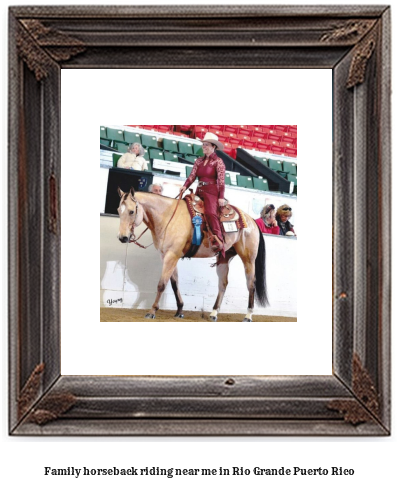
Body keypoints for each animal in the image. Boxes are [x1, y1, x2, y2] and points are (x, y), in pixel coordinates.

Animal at [117, 186, 268, 320]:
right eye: (118, 210)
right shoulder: (167, 256)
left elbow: (162, 284)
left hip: (248, 259)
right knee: (223, 284)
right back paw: (214, 313)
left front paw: (152, 311)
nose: (122, 238)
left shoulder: (172, 255)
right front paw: (179, 310)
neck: (168, 217)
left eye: (131, 211)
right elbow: (174, 283)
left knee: (251, 284)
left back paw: (248, 315)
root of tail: (251, 221)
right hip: (224, 258)